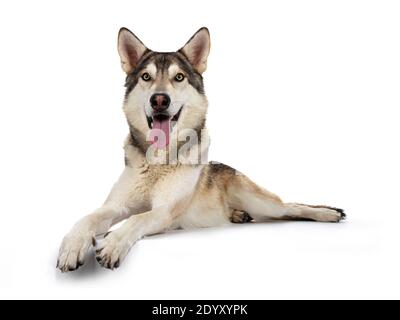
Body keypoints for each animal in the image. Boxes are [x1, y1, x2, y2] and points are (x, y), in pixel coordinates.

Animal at [55, 28, 344, 272]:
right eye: (146, 77)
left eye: (179, 77)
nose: (159, 100)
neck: (158, 161)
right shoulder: (116, 205)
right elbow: (87, 218)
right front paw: (72, 246)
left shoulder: (163, 212)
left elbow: (137, 219)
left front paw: (112, 243)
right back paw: (238, 215)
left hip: (262, 201)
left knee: (290, 206)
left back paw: (328, 213)